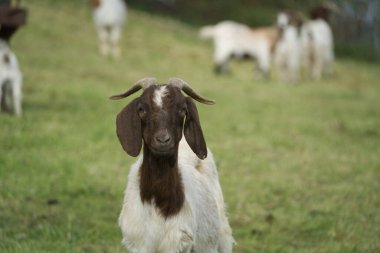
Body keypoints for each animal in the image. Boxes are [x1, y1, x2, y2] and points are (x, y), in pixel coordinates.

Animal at [110, 77, 235, 253]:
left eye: (182, 109)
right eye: (141, 109)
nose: (163, 140)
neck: (159, 202)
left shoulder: (178, 244)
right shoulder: (140, 244)